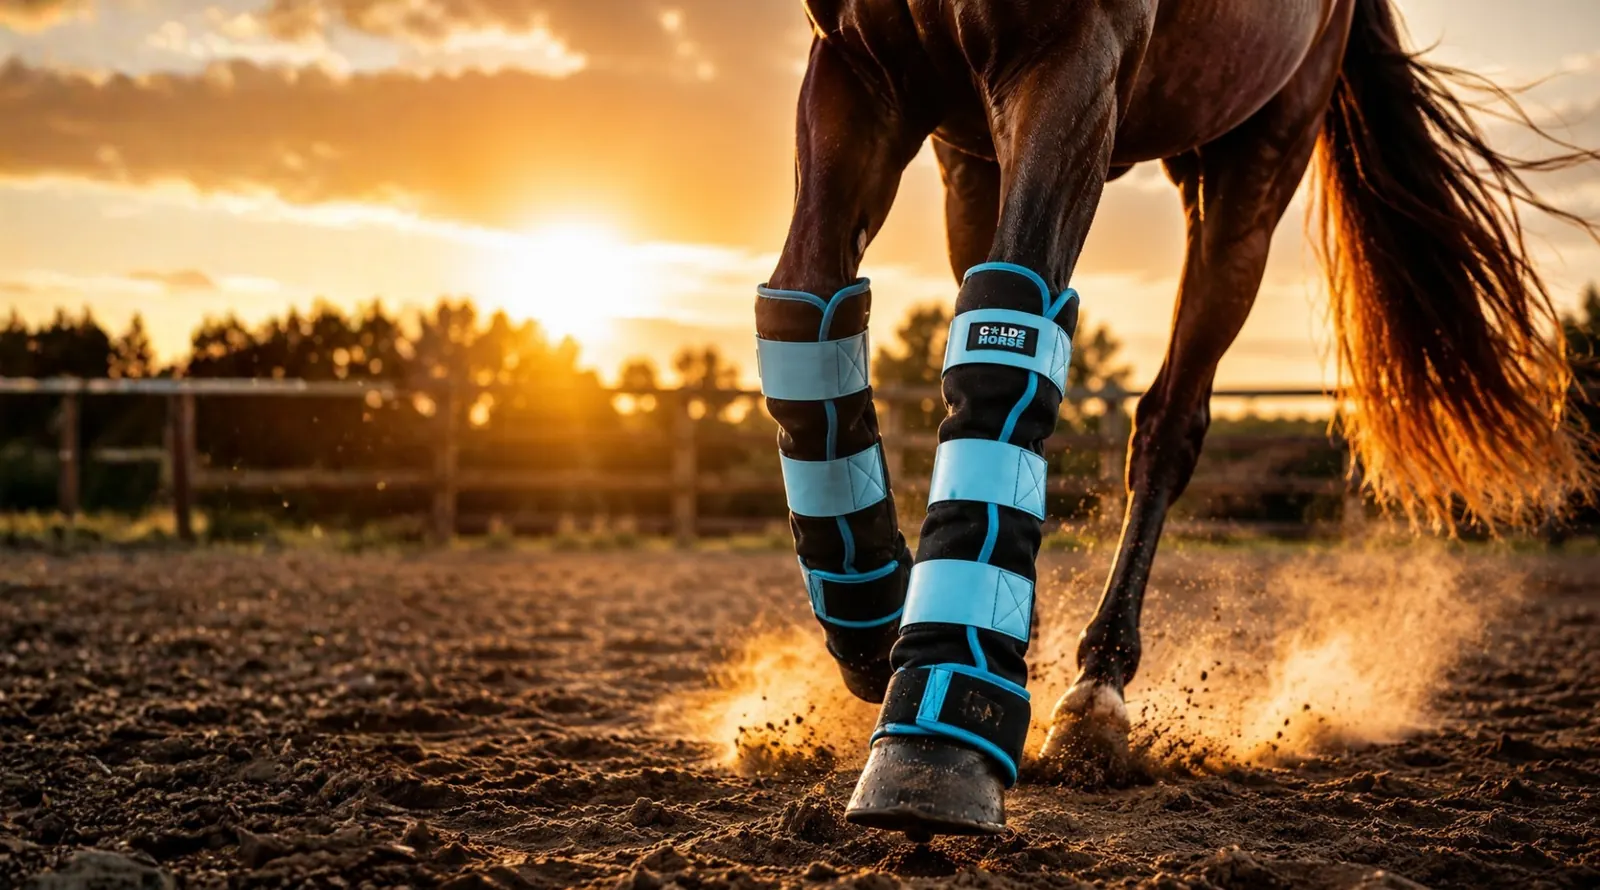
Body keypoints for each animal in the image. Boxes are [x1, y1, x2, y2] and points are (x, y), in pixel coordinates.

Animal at [752, 0, 1599, 837]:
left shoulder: (1071, 59)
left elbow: (1011, 324)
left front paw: (935, 734)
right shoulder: (858, 68)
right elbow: (806, 307)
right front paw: (872, 619)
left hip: (1253, 167)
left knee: (1168, 422)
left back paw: (1093, 689)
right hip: (974, 159)